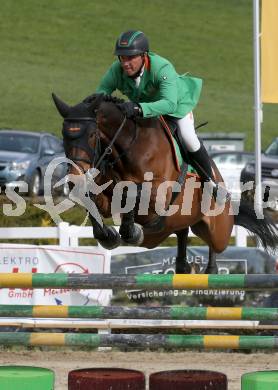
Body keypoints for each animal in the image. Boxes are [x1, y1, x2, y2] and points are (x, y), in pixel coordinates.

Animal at [52, 92, 278, 272]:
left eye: (92, 135)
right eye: (64, 135)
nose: (75, 178)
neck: (128, 148)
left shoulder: (160, 195)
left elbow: (131, 192)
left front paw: (129, 231)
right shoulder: (106, 198)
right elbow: (93, 199)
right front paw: (110, 236)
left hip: (217, 229)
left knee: (215, 245)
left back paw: (210, 268)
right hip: (176, 226)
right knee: (181, 242)